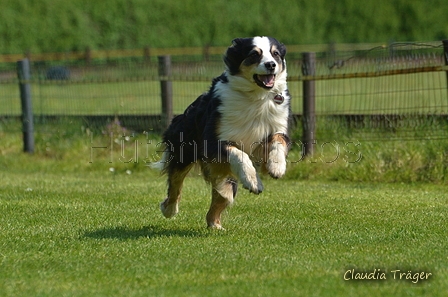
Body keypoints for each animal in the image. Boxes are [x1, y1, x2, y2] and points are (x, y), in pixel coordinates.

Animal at [156, 35, 292, 228]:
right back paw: (168, 209)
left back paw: (215, 225)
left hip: (226, 176)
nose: (271, 65)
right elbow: (239, 153)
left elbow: (278, 140)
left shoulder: (277, 127)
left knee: (222, 196)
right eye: (254, 54)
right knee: (176, 183)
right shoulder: (214, 142)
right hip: (185, 151)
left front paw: (277, 167)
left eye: (275, 54)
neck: (256, 97)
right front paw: (253, 181)